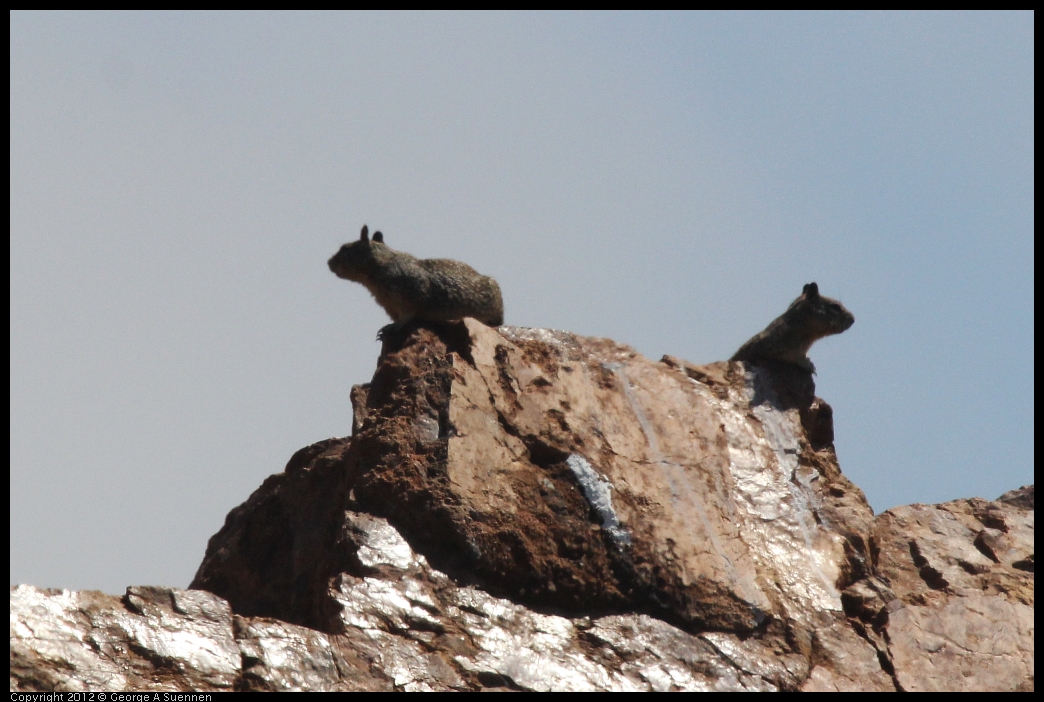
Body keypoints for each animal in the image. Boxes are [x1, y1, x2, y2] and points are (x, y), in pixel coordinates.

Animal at [327, 226, 503, 332]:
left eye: (345, 248)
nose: (329, 262)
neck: (382, 263)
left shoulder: (407, 296)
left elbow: (406, 316)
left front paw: (391, 327)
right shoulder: (389, 304)